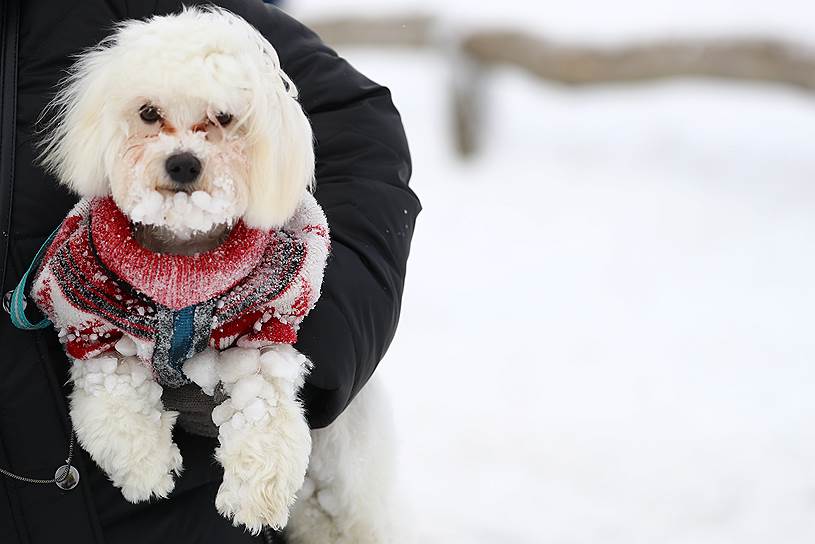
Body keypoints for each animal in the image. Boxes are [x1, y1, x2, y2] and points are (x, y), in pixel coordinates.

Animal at [31, 6, 398, 540]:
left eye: (223, 118)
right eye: (147, 112)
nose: (183, 163)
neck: (183, 267)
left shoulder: (263, 329)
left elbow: (264, 411)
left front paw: (256, 498)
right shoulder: (91, 323)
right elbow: (113, 398)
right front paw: (147, 469)